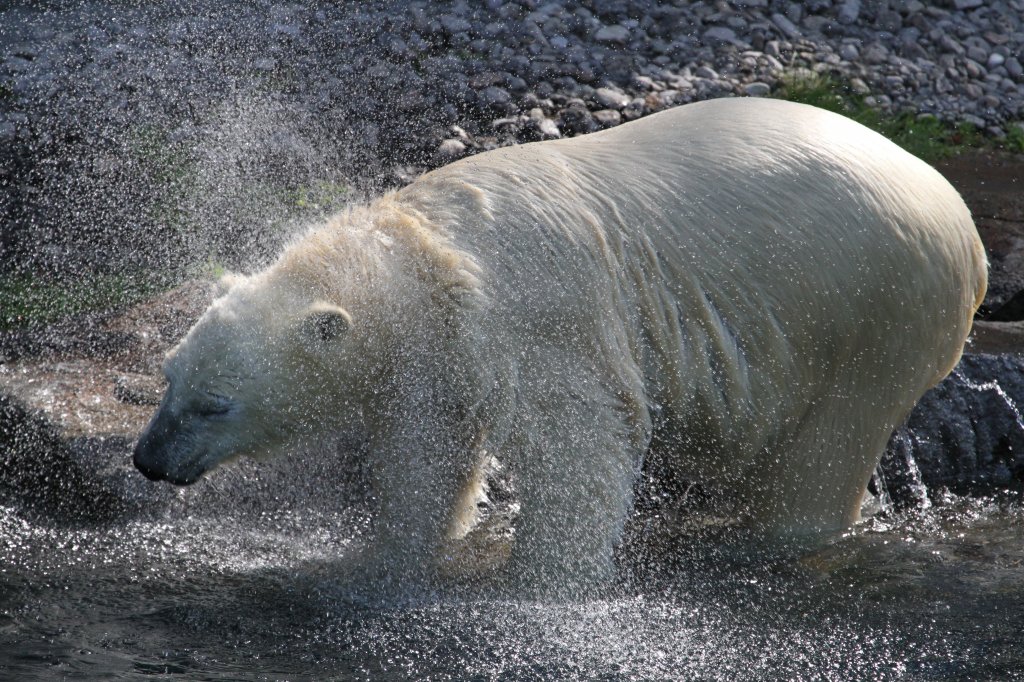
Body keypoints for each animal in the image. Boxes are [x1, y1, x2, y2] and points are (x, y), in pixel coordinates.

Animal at [132, 96, 987, 589]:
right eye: (169, 376)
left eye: (214, 405)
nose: (147, 459)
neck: (424, 256)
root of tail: (966, 226)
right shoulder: (436, 353)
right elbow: (426, 452)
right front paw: (382, 557)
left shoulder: (534, 316)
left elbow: (579, 439)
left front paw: (540, 586)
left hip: (875, 306)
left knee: (829, 442)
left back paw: (756, 542)